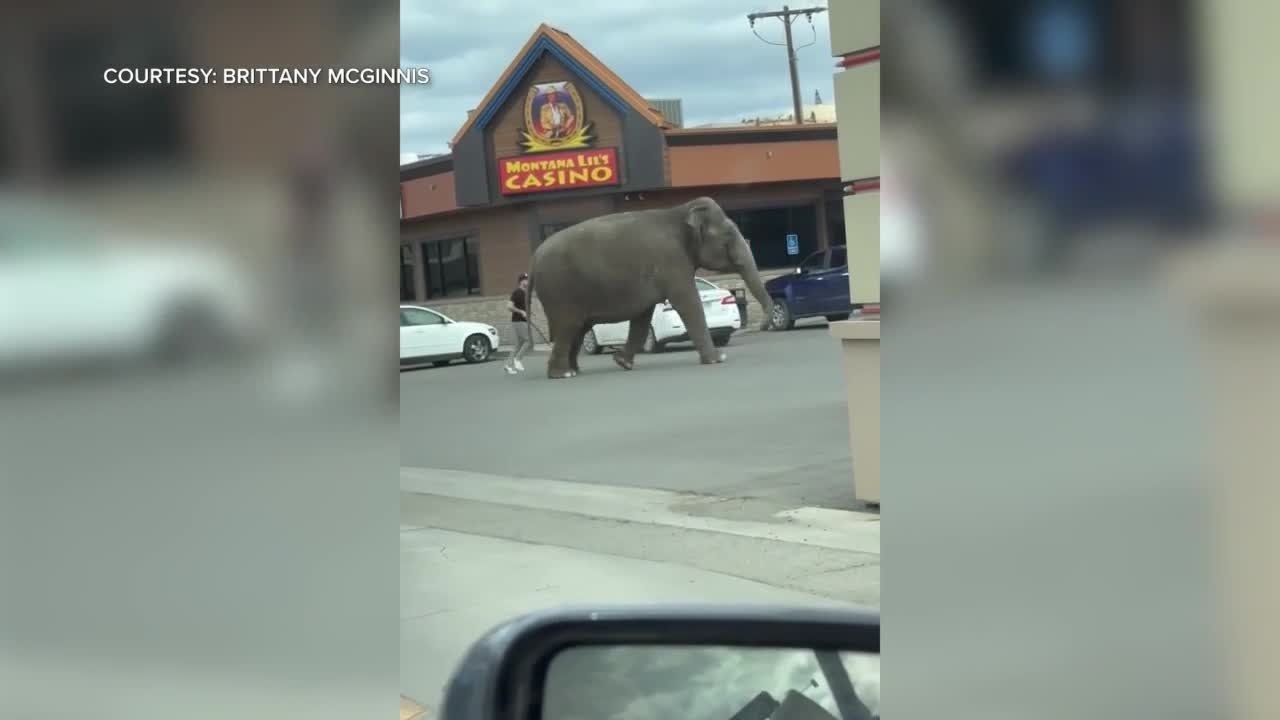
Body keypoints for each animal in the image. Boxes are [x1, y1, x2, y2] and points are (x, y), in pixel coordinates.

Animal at [528, 196, 774, 379]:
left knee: (577, 330)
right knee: (568, 327)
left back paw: (574, 370)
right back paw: (562, 374)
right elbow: (688, 302)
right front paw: (717, 359)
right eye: (729, 234)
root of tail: (534, 259)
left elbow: (642, 317)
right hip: (559, 291)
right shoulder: (672, 260)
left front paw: (623, 362)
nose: (763, 325)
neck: (680, 211)